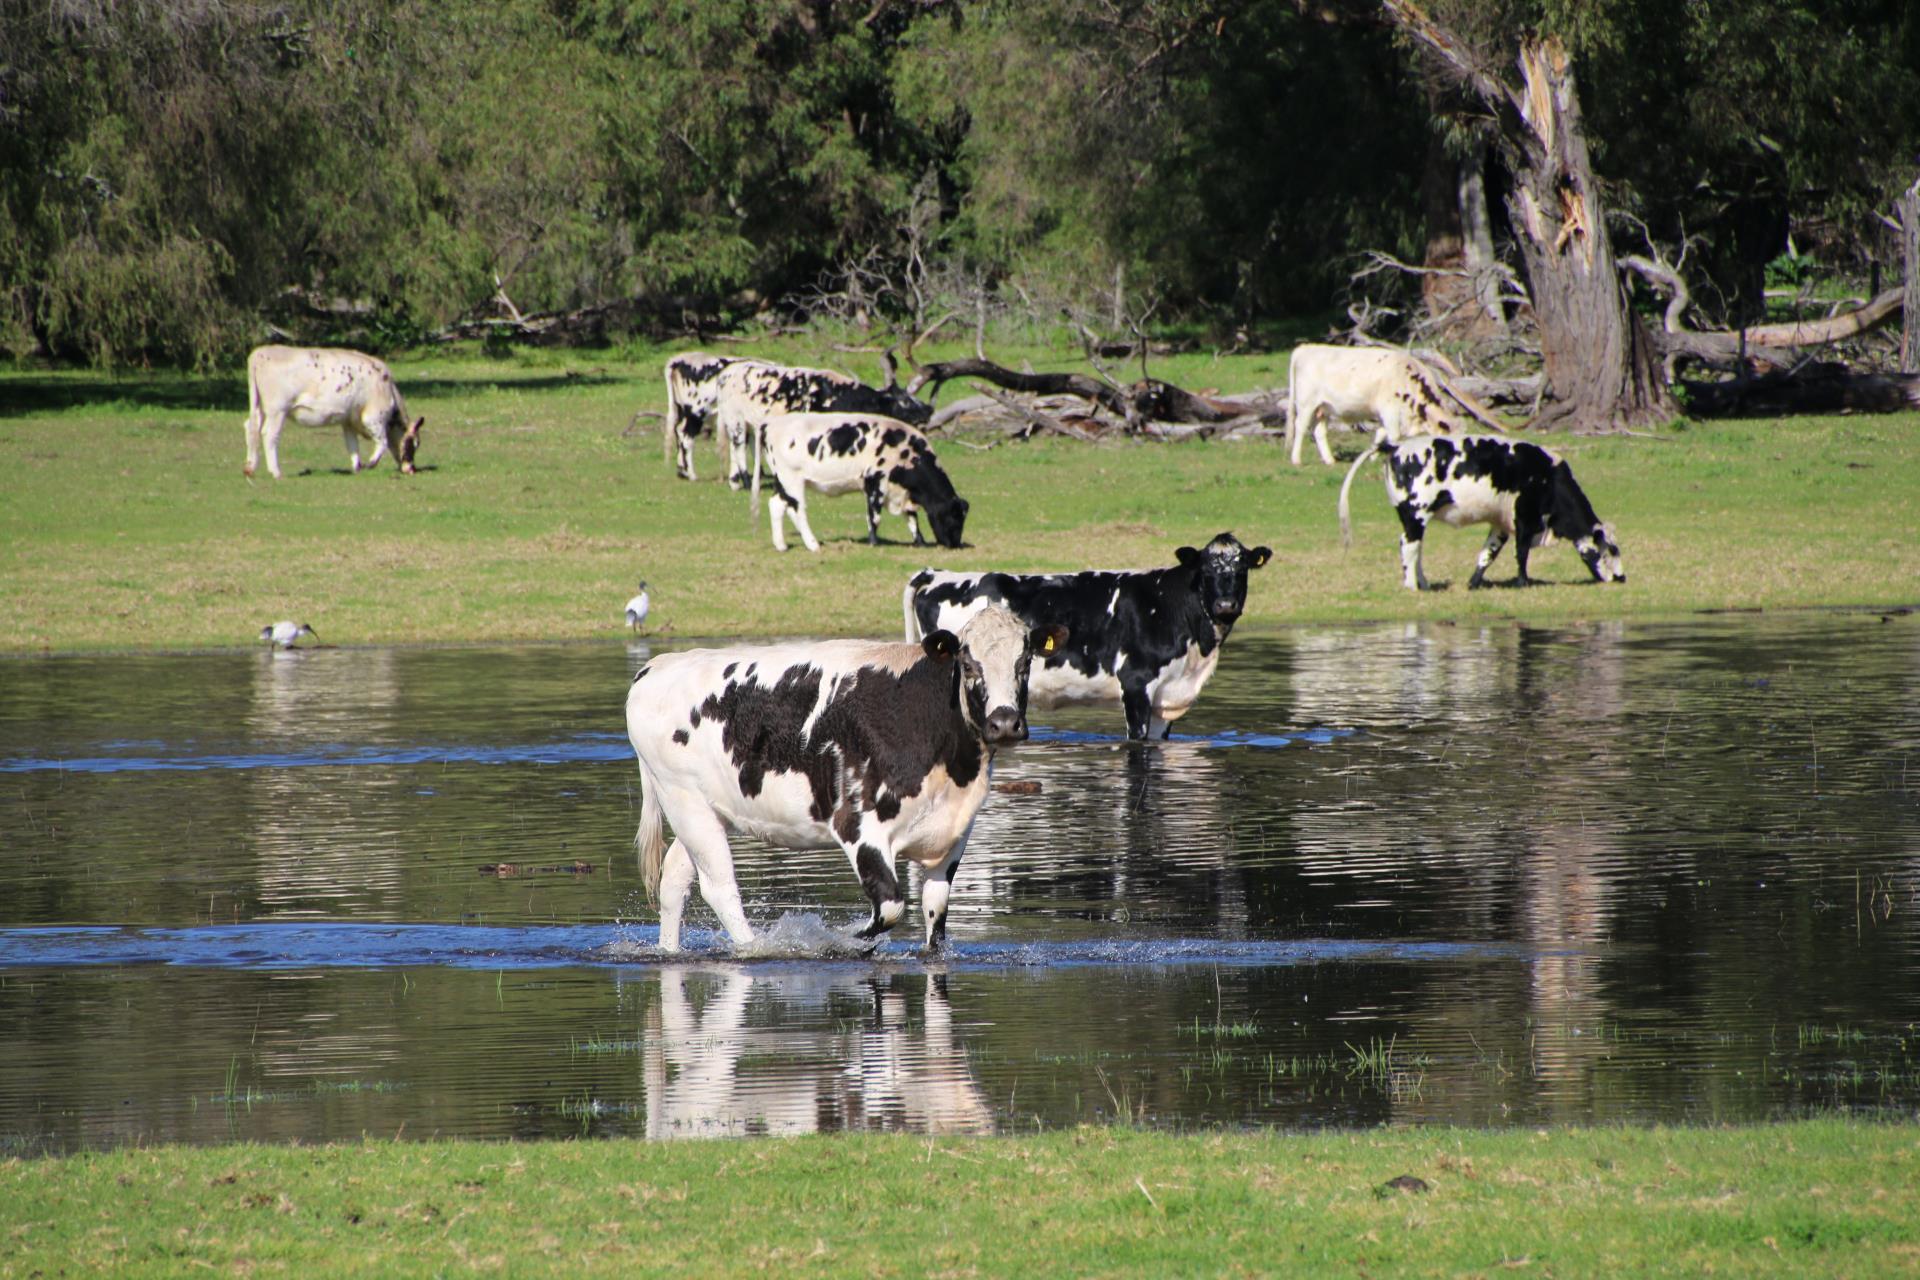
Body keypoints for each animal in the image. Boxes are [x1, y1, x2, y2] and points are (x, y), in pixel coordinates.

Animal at [241, 345, 422, 479]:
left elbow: (352, 444)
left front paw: (357, 467)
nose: (411, 469)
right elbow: (382, 442)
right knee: (269, 434)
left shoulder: (348, 420)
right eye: (413, 444)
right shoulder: (373, 416)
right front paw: (370, 464)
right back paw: (276, 472)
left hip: (259, 408)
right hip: (277, 410)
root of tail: (259, 353)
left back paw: (250, 468)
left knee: (251, 428)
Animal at [625, 602, 1067, 951]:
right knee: (719, 888)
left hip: (712, 810)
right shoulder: (859, 825)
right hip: (684, 800)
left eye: (1024, 663)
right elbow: (889, 909)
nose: (1004, 722)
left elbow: (935, 915)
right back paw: (757, 948)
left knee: (675, 878)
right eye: (970, 664)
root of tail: (659, 665)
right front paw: (840, 939)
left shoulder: (954, 838)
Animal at [744, 410, 967, 552]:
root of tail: (772, 423)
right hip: (791, 480)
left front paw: (920, 542)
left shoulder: (901, 492)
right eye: (953, 518)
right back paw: (813, 544)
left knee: (777, 505)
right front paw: (874, 542)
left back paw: (781, 545)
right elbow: (874, 516)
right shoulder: (875, 482)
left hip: (781, 481)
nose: (955, 545)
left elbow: (912, 518)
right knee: (797, 510)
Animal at [1282, 347, 1505, 468]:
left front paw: (1372, 457)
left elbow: (1380, 435)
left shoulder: (1385, 415)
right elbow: (1394, 436)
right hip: (1306, 403)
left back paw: (1329, 460)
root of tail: (1304, 348)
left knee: (1319, 431)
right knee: (1300, 427)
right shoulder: (1389, 410)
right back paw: (1296, 459)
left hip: (1324, 408)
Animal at [1344, 429, 1628, 591]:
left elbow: (1487, 554)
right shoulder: (1525, 518)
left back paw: (1423, 583)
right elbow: (1521, 553)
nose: (1621, 577)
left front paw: (1474, 583)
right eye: (1610, 550)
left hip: (1414, 518)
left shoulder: (1501, 524)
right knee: (1409, 546)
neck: (1547, 476)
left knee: (1415, 548)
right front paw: (1522, 583)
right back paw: (1412, 585)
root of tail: (1397, 446)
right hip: (1416, 514)